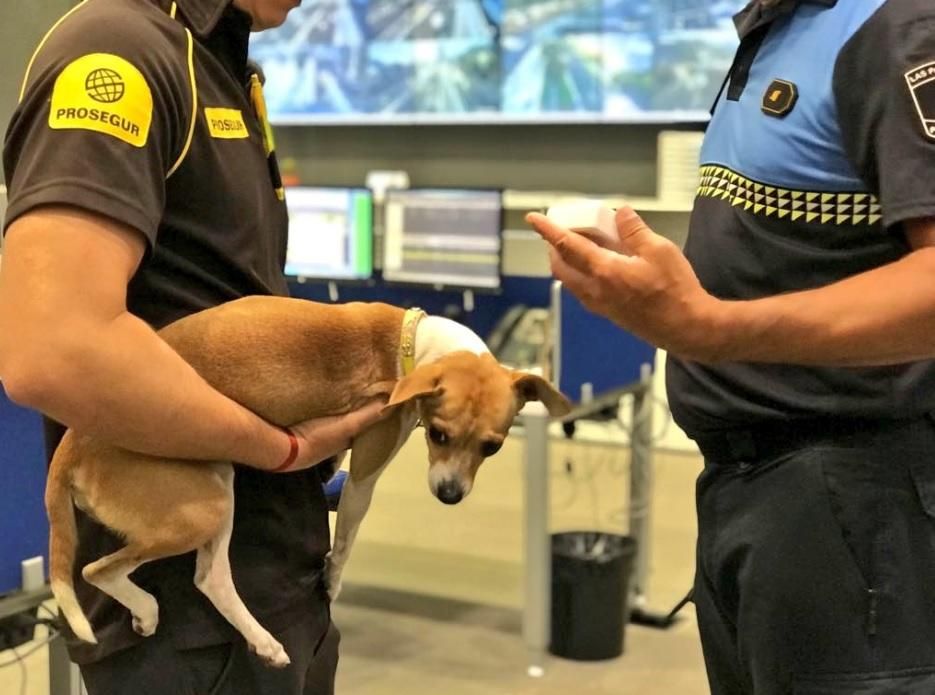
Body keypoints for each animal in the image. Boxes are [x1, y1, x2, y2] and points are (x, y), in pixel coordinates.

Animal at [47, 296, 572, 668]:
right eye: (439, 434)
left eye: (492, 447)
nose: (449, 495)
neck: (412, 345)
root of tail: (72, 444)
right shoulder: (367, 469)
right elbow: (346, 540)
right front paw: (333, 579)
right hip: (204, 503)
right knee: (102, 571)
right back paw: (159, 610)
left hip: (213, 491)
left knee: (209, 577)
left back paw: (256, 639)